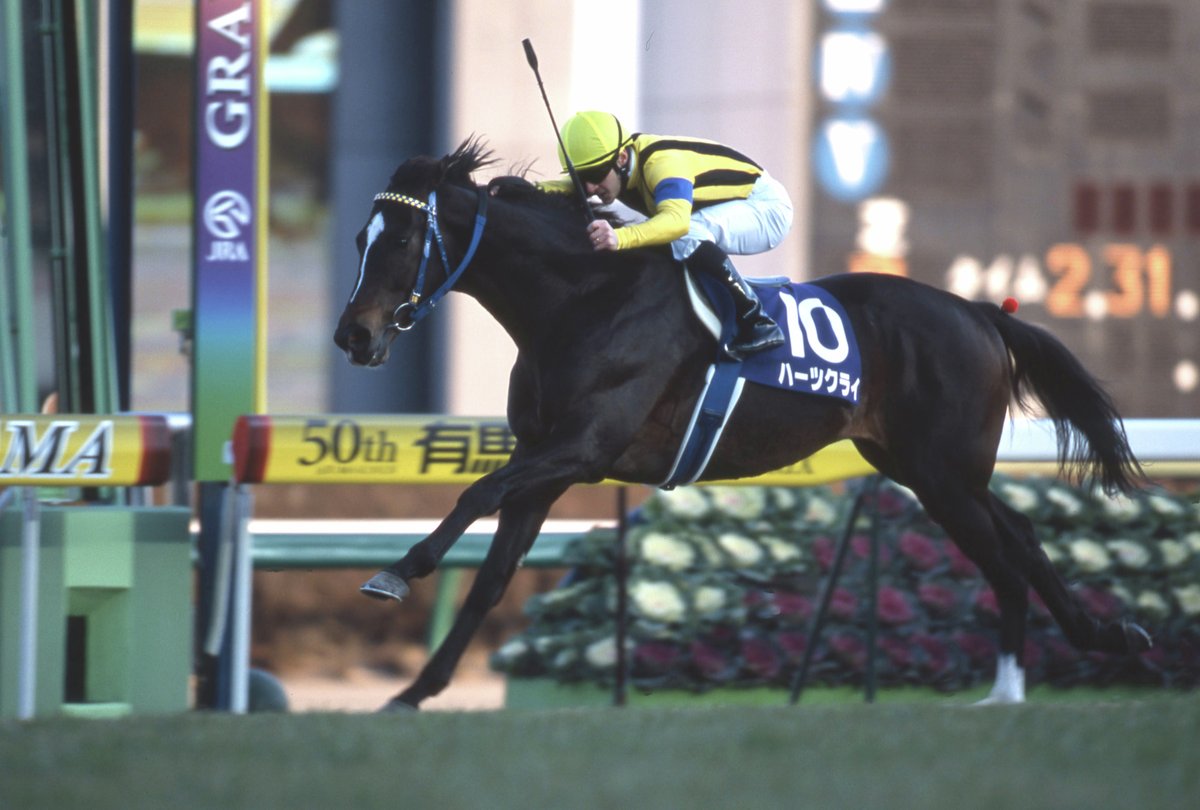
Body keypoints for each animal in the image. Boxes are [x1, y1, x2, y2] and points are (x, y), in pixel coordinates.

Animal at [334, 137, 1151, 710]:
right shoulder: (545, 463)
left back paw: (1036, 675)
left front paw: (396, 571)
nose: (354, 336)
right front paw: (414, 692)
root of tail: (978, 312)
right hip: (924, 469)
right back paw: (1083, 647)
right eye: (359, 240)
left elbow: (474, 493)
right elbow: (492, 578)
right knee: (1021, 539)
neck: (580, 300)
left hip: (945, 473)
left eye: (401, 241)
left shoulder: (582, 448)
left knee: (1007, 556)